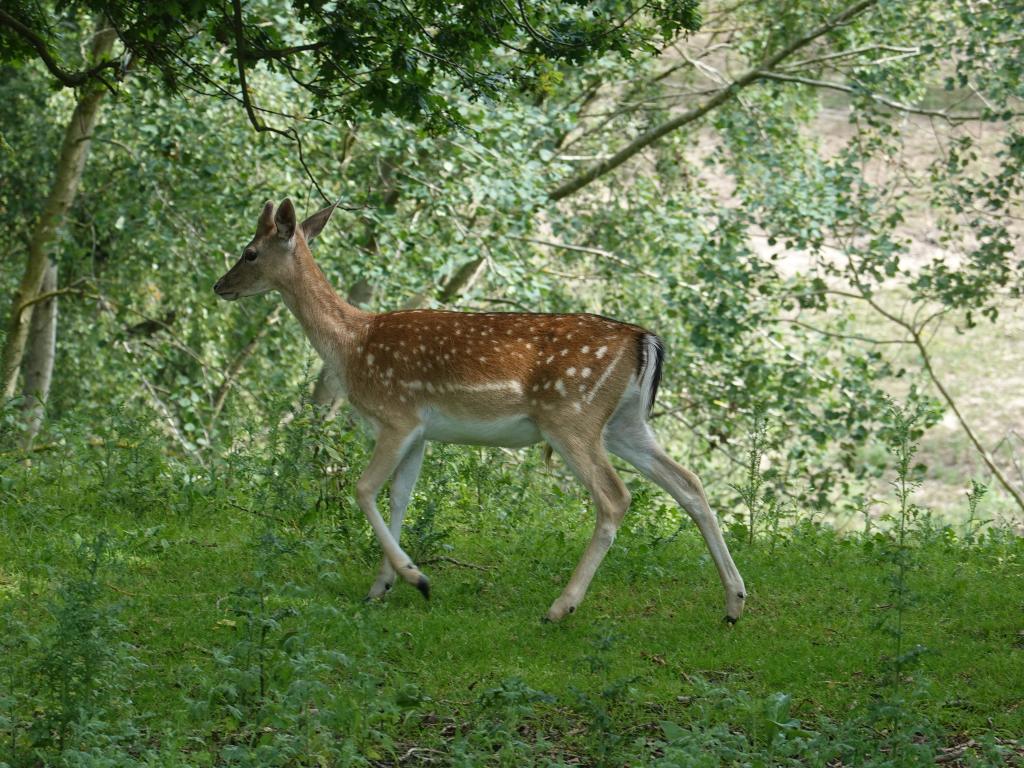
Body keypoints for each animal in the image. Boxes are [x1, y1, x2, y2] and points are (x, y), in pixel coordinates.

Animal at [214, 198, 745, 626]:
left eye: (249, 252)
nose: (220, 286)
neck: (351, 346)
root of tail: (644, 340)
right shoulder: (420, 432)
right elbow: (400, 498)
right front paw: (382, 586)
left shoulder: (396, 415)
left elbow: (363, 489)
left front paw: (416, 578)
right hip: (624, 423)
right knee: (689, 482)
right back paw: (734, 603)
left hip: (571, 416)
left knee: (616, 497)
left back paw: (560, 607)